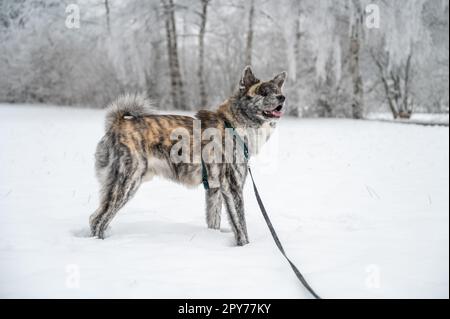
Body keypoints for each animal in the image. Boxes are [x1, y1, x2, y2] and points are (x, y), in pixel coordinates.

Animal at [89, 67, 286, 248]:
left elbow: (213, 220)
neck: (233, 126)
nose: (282, 98)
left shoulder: (214, 190)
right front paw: (245, 248)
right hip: (127, 183)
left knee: (95, 217)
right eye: (263, 92)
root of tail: (118, 123)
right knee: (98, 219)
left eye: (277, 91)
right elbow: (241, 226)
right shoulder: (233, 187)